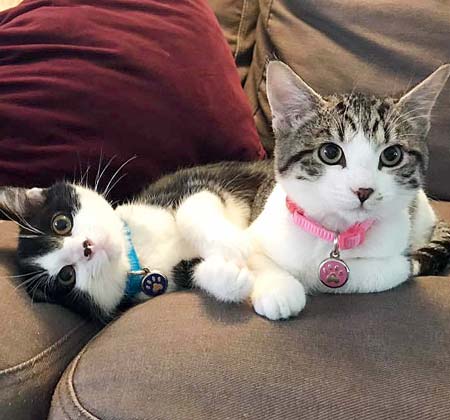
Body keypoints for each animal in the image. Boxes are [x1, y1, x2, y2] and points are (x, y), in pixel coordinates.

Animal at [0, 162, 270, 320]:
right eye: (67, 276)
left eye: (61, 224)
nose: (87, 247)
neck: (138, 251)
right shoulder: (171, 278)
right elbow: (194, 272)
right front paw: (229, 276)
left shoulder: (186, 183)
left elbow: (191, 206)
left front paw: (232, 242)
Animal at [246, 60, 450, 320]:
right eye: (330, 152)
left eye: (392, 155)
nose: (363, 190)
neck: (334, 234)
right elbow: (253, 254)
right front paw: (279, 288)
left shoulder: (393, 261)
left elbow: (372, 273)